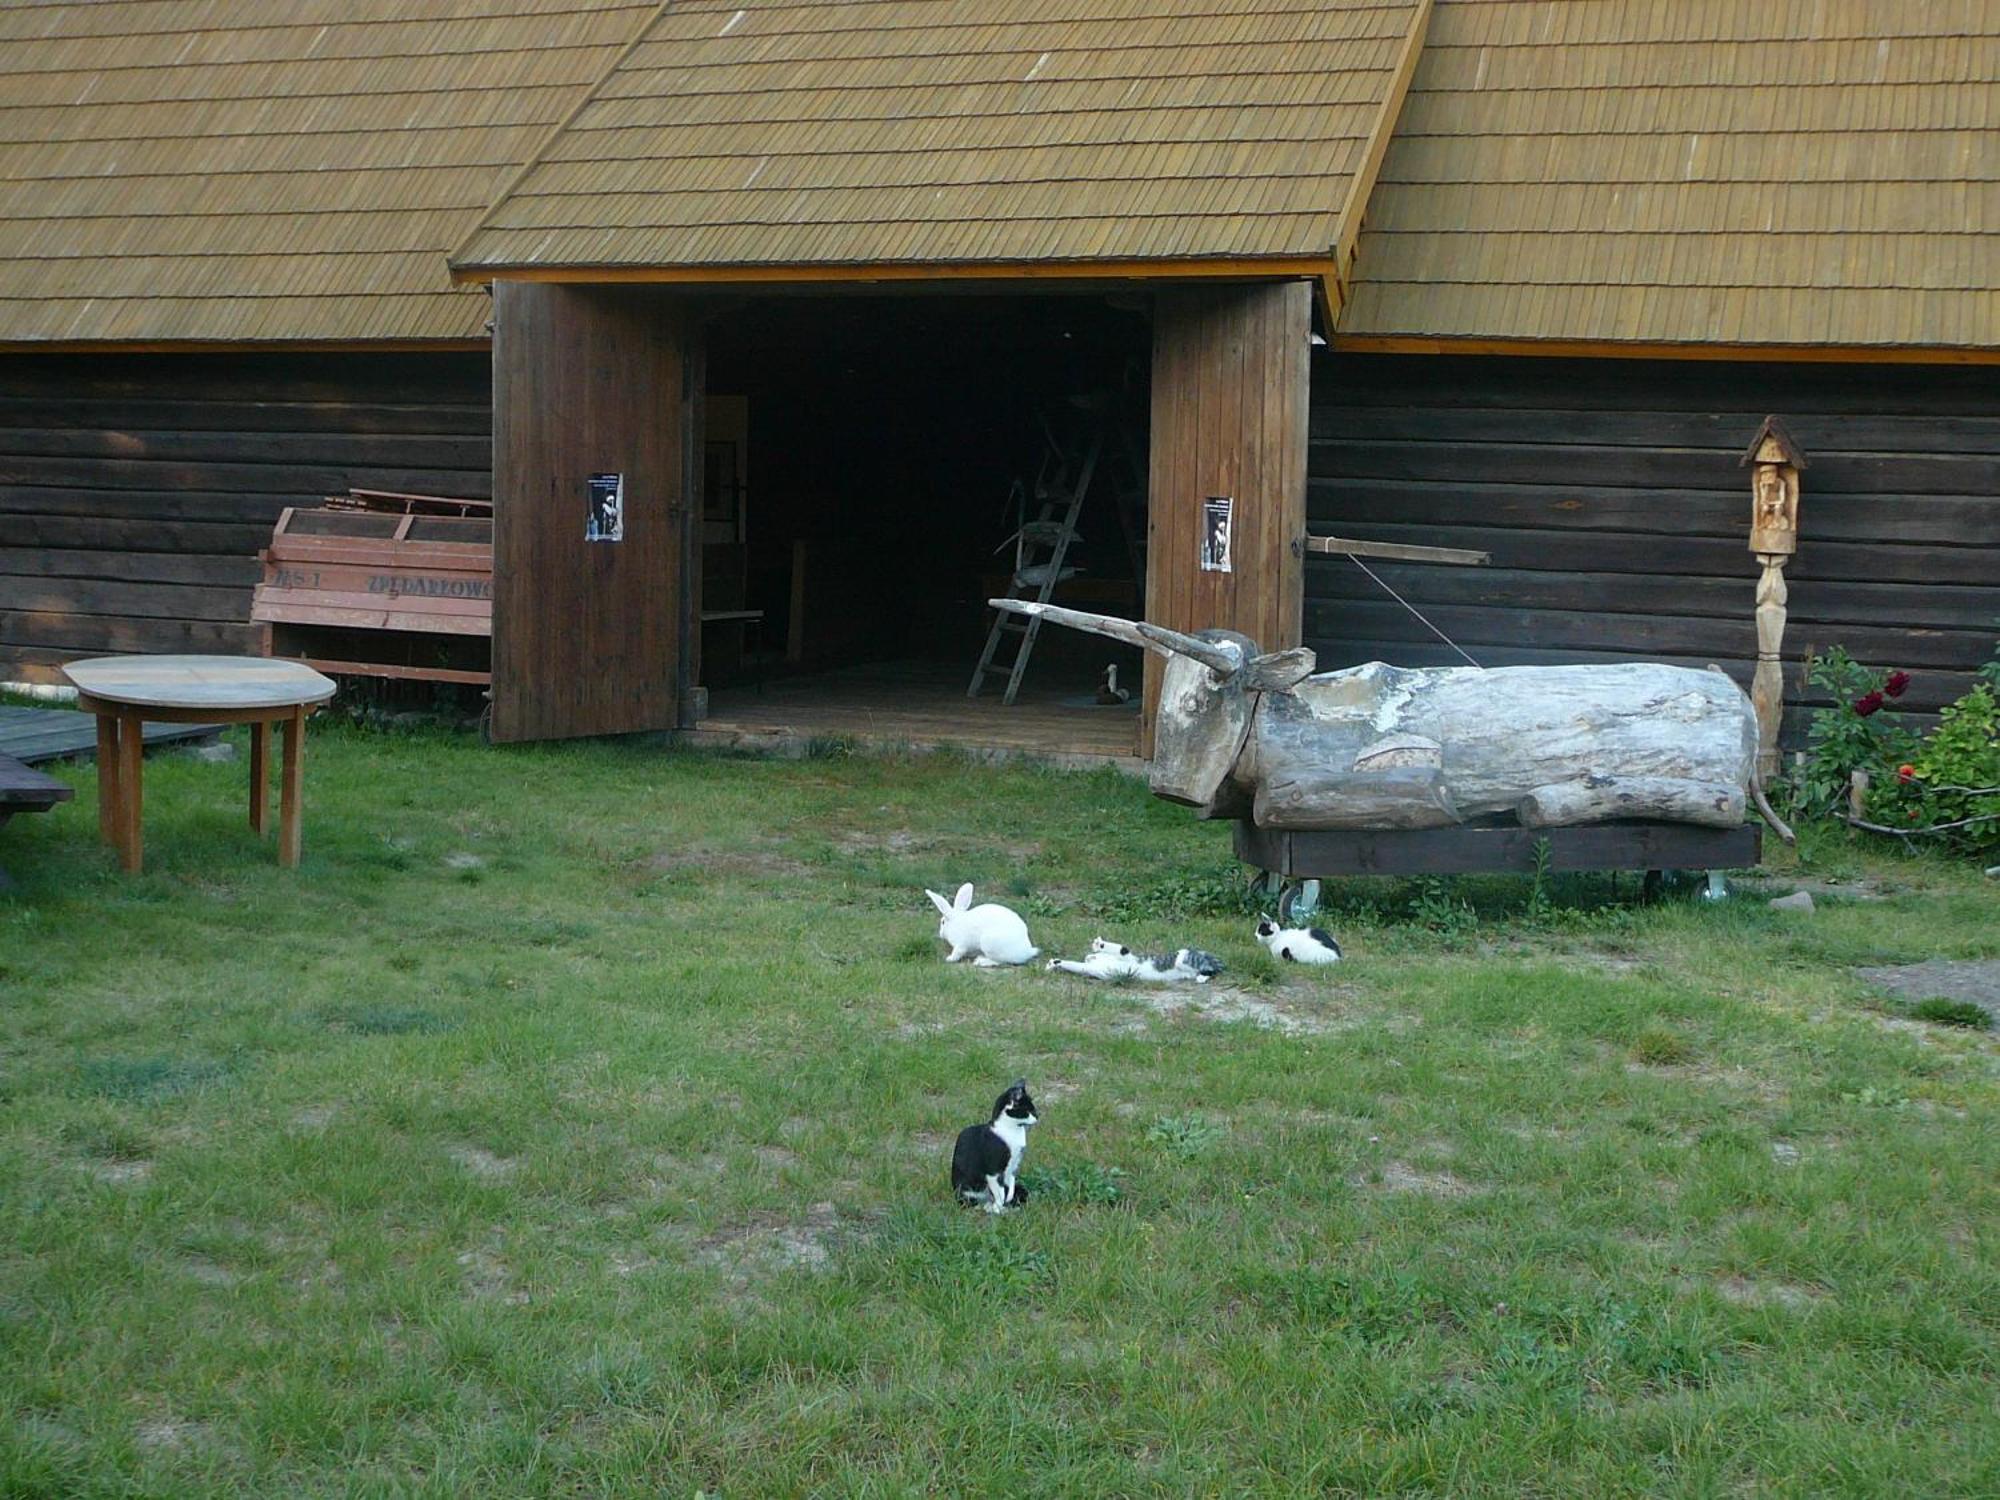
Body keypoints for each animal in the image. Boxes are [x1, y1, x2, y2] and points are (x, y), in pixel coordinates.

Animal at [956, 1072, 1048, 1216]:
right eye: (1029, 1110)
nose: (1038, 1116)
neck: (1013, 1131)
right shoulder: (993, 1171)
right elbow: (999, 1193)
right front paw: (999, 1208)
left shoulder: (1013, 1165)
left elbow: (1010, 1183)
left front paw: (1008, 1198)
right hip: (967, 1190)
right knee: (971, 1202)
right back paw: (991, 1207)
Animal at [1048, 940, 1216, 988]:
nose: (1090, 957)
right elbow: (1076, 965)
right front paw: (1053, 963)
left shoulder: (1129, 959)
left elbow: (1120, 948)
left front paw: (1099, 944)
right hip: (1187, 970)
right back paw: (1200, 977)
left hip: (1185, 958)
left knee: (1210, 969)